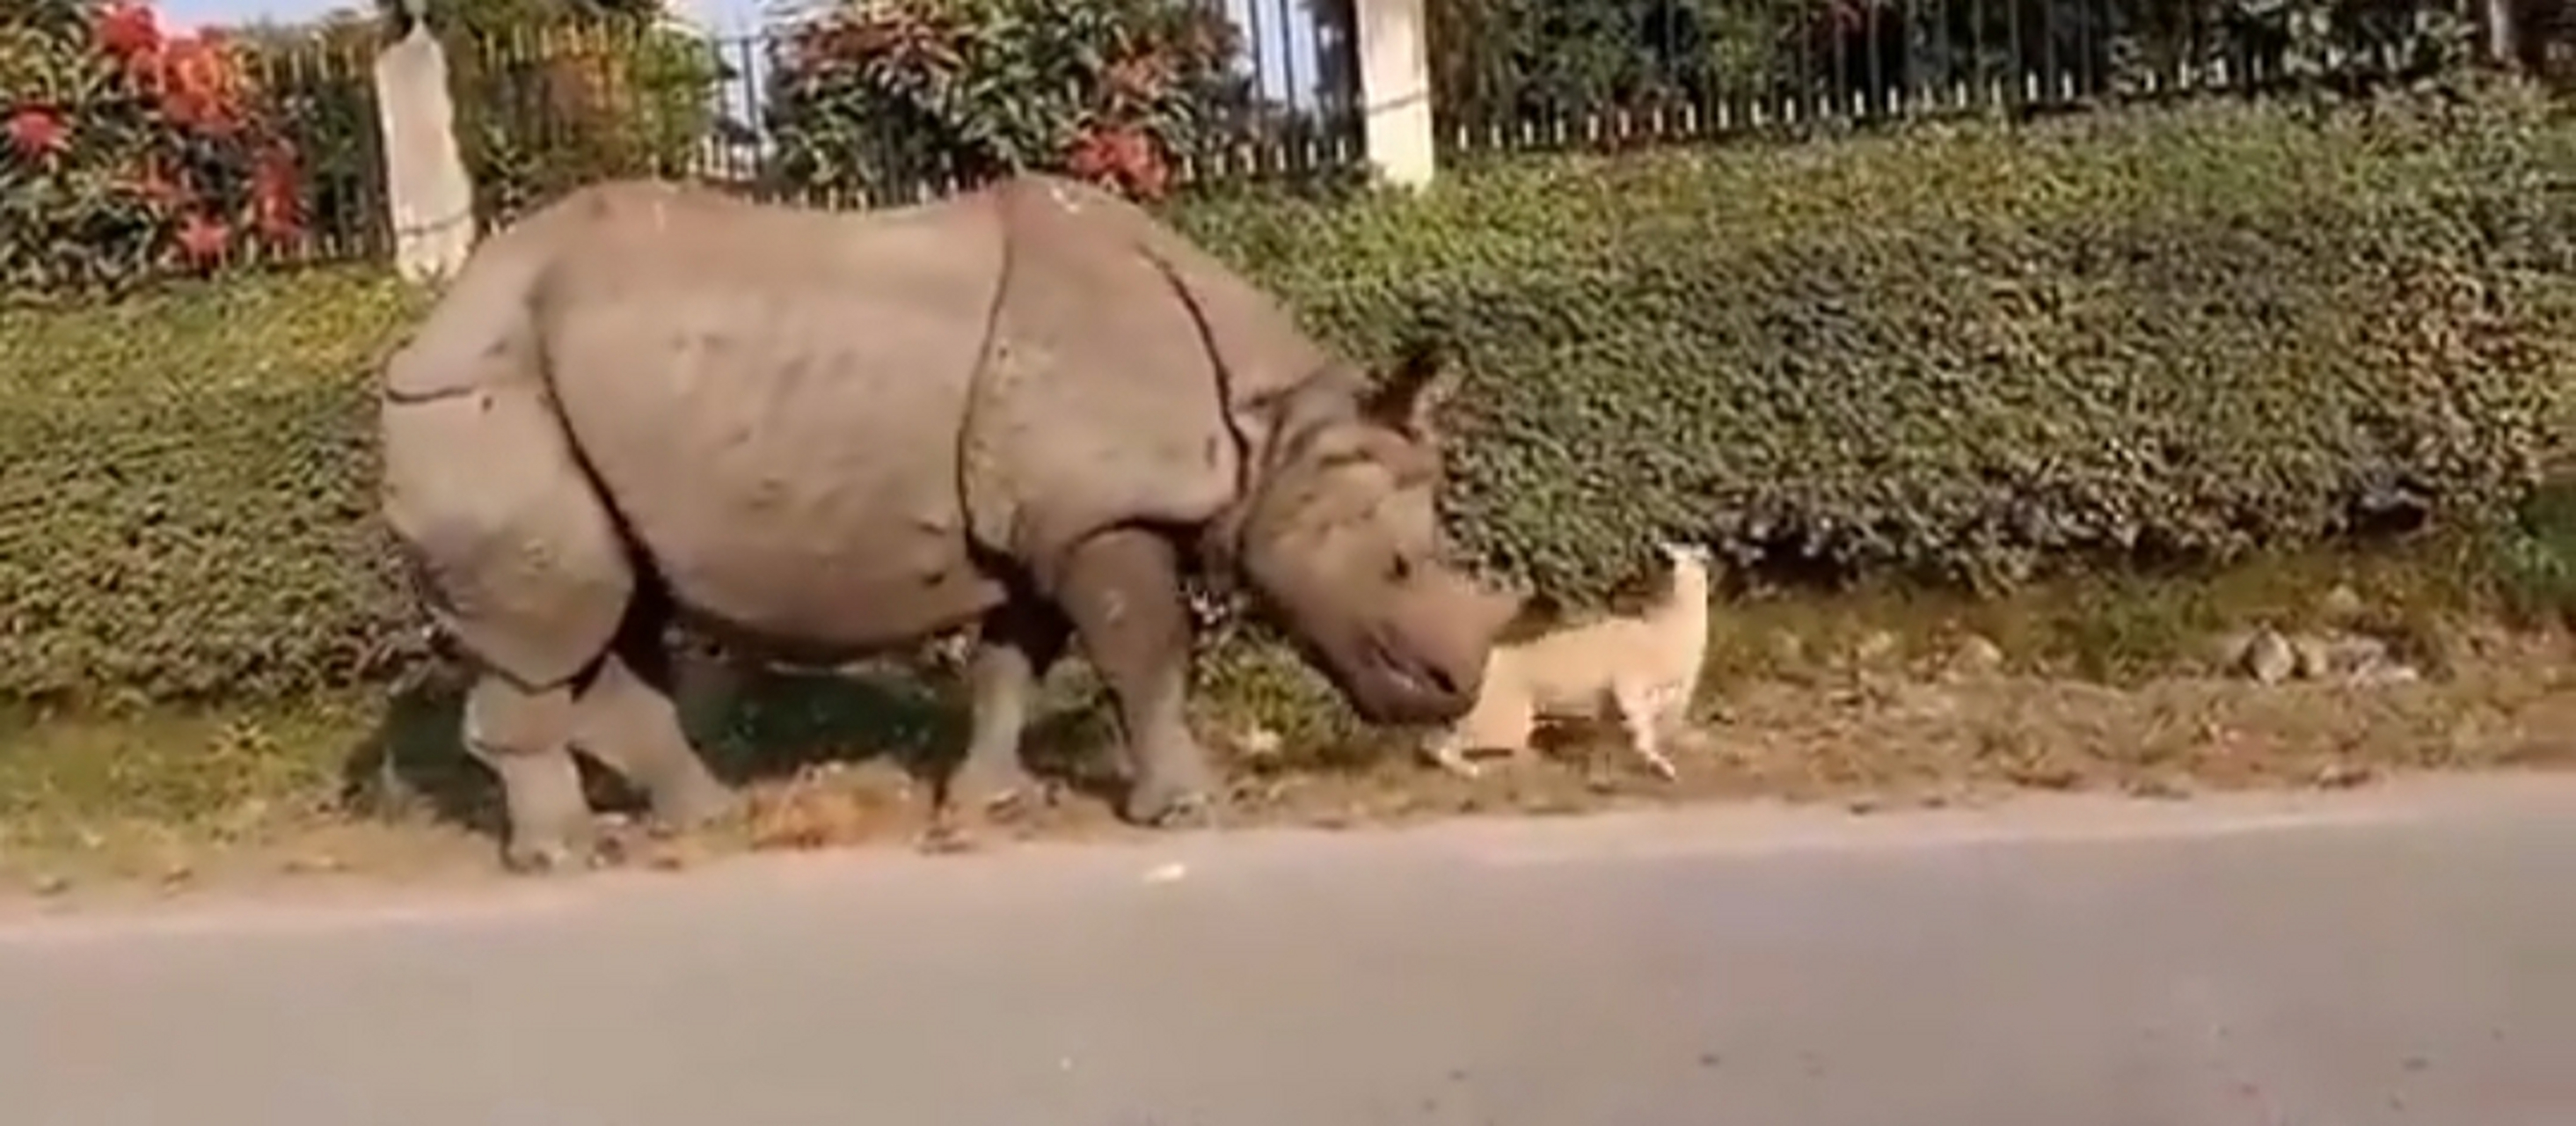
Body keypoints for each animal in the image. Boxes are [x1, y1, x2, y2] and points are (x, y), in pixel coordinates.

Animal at [1432, 538, 1710, 778]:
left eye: (1681, 552)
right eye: (1670, 554)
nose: (1658, 552)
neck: (1666, 634)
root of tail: (1493, 659)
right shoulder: (1629, 683)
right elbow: (1644, 728)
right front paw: (1662, 765)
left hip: (1490, 713)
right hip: (1504, 718)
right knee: (1444, 748)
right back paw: (1477, 769)